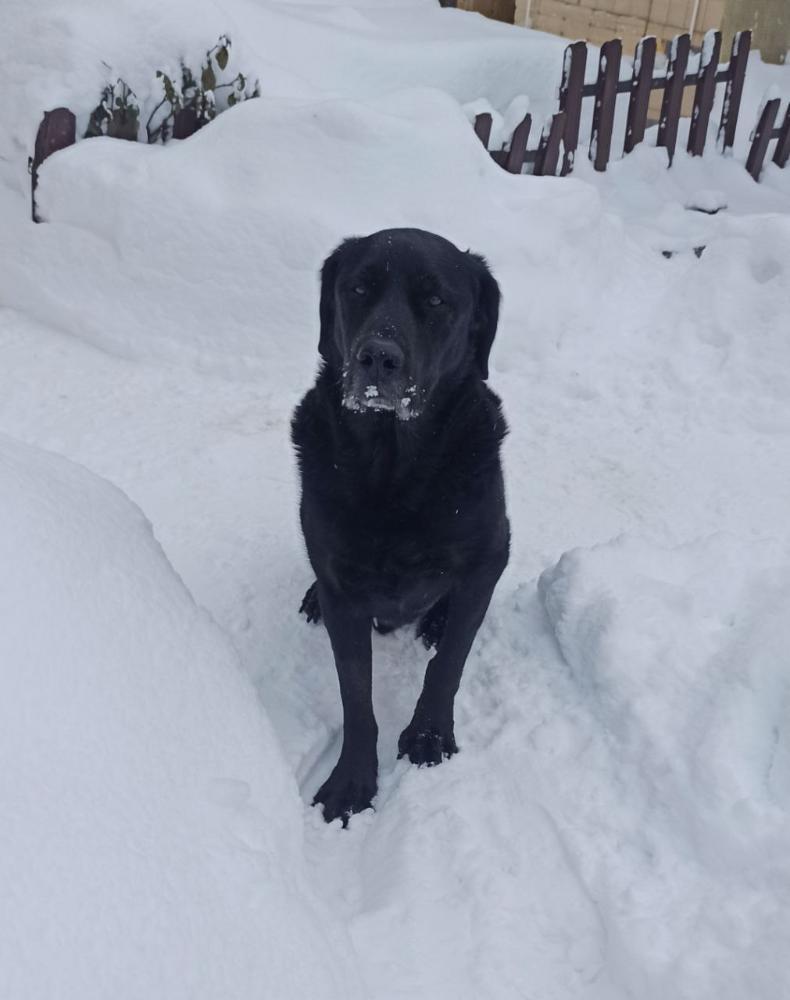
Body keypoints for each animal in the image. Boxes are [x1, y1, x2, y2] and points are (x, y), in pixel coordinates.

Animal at [292, 228, 509, 825]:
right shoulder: (344, 590)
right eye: (358, 288)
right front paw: (352, 780)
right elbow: (356, 696)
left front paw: (429, 734)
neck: (393, 469)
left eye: (435, 300)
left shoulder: (489, 558)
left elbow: (450, 663)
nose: (376, 357)